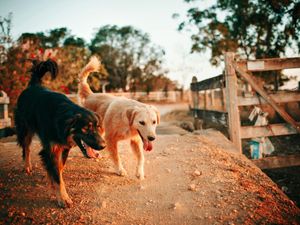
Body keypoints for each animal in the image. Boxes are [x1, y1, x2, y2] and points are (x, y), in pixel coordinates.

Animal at [14, 59, 105, 207]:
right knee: (26, 148)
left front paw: (55, 184)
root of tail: (33, 85)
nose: (103, 146)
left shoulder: (64, 147)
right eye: (86, 128)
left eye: (98, 127)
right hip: (25, 129)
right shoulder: (50, 149)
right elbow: (57, 175)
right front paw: (63, 198)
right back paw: (27, 166)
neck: (62, 119)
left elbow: (59, 169)